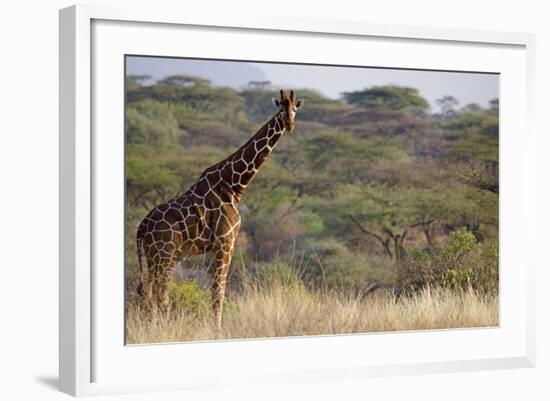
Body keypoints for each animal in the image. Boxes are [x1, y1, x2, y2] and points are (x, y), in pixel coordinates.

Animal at [136, 90, 304, 328]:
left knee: (149, 291)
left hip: (154, 257)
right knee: (161, 293)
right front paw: (217, 329)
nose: (289, 124)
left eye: (295, 108)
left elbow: (217, 291)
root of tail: (141, 227)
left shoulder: (222, 244)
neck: (233, 186)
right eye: (281, 108)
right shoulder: (226, 242)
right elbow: (218, 291)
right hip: (165, 254)